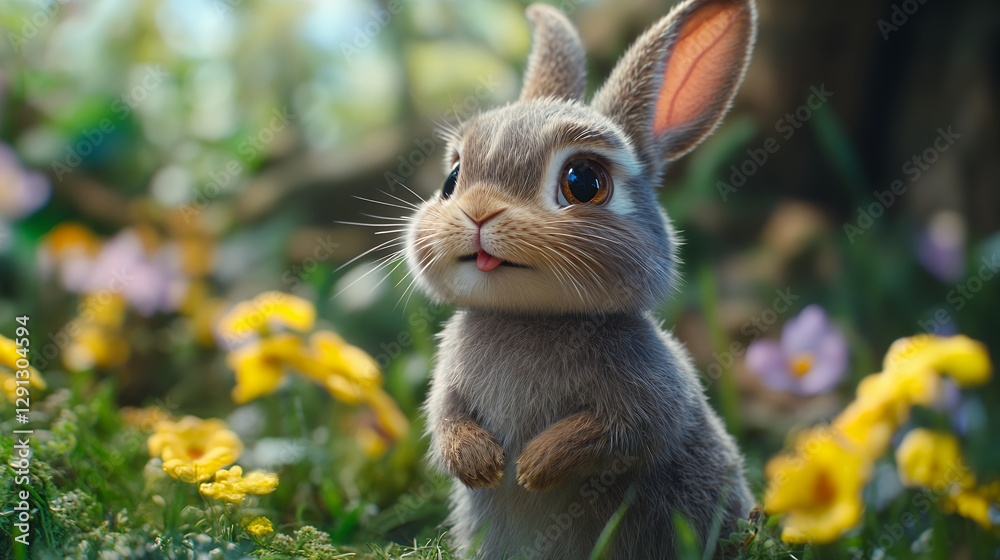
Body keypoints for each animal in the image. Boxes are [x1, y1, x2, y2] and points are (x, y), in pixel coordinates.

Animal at [403, 0, 757, 557]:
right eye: (451, 179)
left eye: (584, 181)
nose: (477, 213)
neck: (532, 316)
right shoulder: (448, 387)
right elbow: (446, 420)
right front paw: (482, 464)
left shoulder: (648, 397)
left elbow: (619, 435)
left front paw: (533, 467)